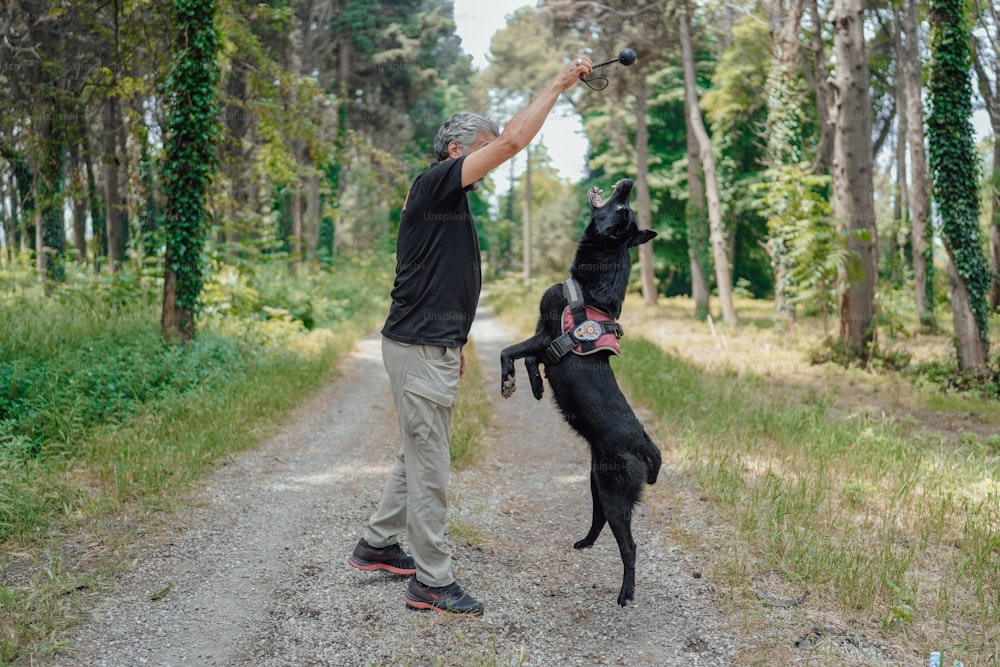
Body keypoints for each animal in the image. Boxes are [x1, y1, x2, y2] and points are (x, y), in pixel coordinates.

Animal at [500, 180, 664, 608]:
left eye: (621, 208)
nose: (626, 182)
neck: (589, 290)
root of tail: (646, 445)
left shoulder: (544, 335)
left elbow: (509, 352)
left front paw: (510, 382)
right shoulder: (544, 346)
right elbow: (528, 361)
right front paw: (535, 386)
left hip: (614, 492)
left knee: (630, 545)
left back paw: (626, 592)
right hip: (597, 484)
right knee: (599, 518)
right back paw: (585, 543)